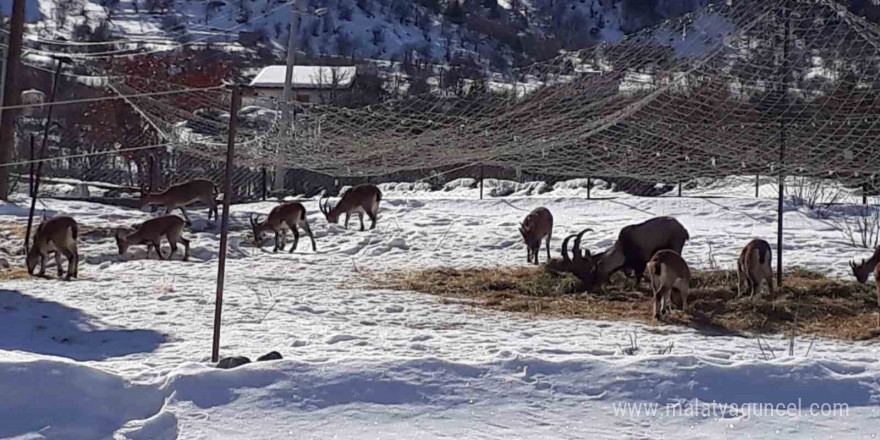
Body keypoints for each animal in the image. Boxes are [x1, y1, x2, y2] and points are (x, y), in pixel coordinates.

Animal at [552, 217, 688, 292]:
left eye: (590, 273)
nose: (590, 286)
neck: (622, 249)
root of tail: (683, 230)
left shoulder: (641, 262)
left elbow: (638, 277)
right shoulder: (627, 266)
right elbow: (627, 274)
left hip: (675, 247)